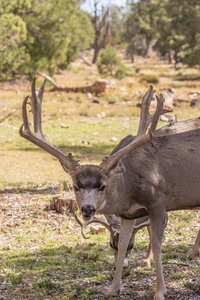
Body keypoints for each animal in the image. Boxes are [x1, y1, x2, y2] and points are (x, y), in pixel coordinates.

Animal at [19, 78, 200, 300]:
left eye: (102, 185)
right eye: (75, 186)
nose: (88, 209)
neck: (128, 183)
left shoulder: (157, 202)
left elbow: (157, 245)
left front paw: (160, 291)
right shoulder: (128, 214)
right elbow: (122, 245)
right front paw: (113, 288)